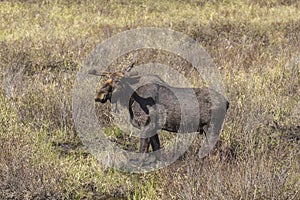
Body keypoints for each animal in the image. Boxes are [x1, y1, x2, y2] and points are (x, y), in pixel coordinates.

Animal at [89, 64, 230, 159]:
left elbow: (142, 154)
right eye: (106, 80)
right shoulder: (153, 129)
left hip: (212, 127)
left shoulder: (146, 126)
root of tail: (227, 102)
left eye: (119, 81)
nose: (99, 95)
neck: (130, 99)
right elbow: (157, 151)